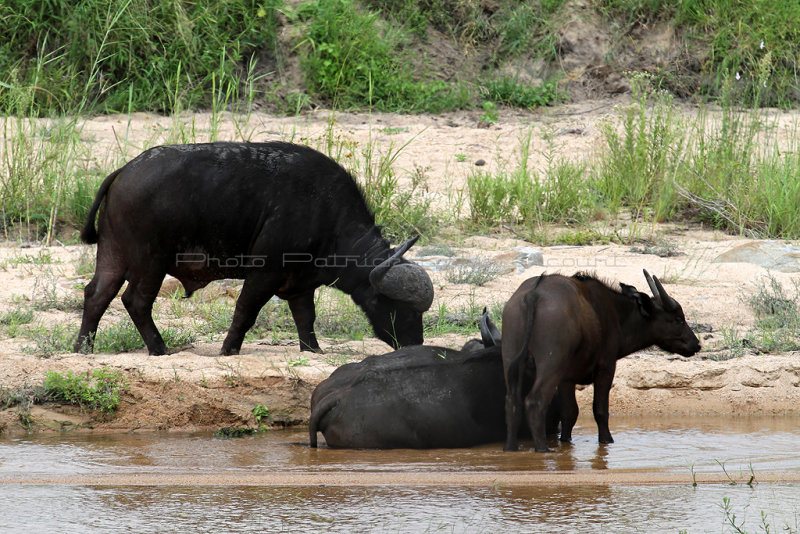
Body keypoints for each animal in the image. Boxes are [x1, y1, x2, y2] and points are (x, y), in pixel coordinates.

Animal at [74, 144, 434, 358]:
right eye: (399, 309)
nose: (415, 343)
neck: (326, 213)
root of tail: (124, 171)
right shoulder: (266, 272)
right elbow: (245, 310)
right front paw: (229, 349)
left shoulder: (300, 283)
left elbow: (306, 317)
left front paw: (313, 350)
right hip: (151, 260)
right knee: (135, 300)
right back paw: (160, 348)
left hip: (112, 254)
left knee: (97, 294)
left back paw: (83, 346)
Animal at [504, 272, 704, 452]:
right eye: (678, 319)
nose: (696, 343)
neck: (615, 313)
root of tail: (534, 294)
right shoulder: (606, 367)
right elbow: (600, 409)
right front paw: (607, 440)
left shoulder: (566, 379)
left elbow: (570, 412)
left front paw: (566, 441)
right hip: (550, 367)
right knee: (535, 402)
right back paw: (542, 449)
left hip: (512, 364)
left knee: (512, 401)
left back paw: (510, 447)